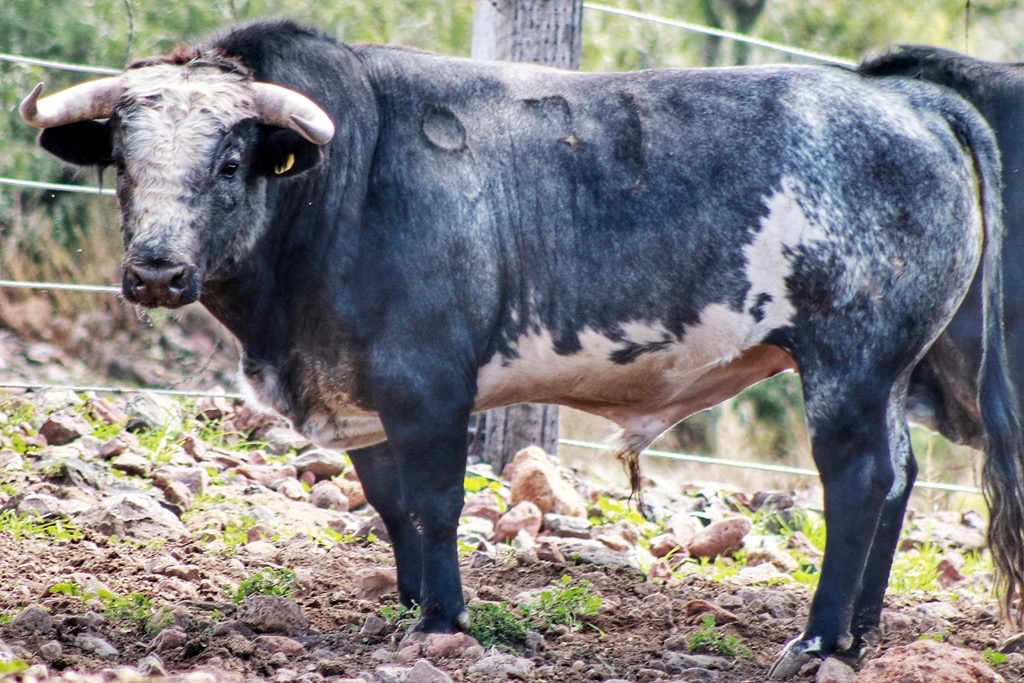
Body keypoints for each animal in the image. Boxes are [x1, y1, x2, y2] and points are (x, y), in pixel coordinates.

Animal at [22, 21, 1024, 679]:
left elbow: (433, 507)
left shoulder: (429, 388)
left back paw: (817, 639)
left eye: (230, 161)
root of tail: (897, 97)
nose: (156, 270)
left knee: (857, 483)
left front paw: (443, 620)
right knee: (896, 479)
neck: (341, 190)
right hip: (888, 375)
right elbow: (390, 507)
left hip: (848, 367)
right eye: (122, 160)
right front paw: (408, 603)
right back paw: (861, 630)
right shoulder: (366, 399)